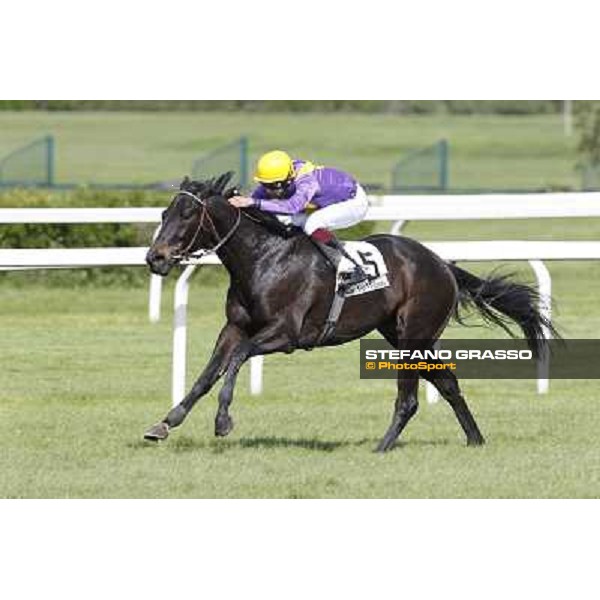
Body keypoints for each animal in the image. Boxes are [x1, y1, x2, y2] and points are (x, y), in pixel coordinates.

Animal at [143, 172, 556, 450]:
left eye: (186, 214)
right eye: (164, 213)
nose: (154, 258)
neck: (264, 258)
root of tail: (440, 263)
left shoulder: (286, 335)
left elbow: (236, 360)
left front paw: (223, 420)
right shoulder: (234, 327)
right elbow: (207, 373)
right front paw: (166, 422)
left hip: (413, 335)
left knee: (409, 398)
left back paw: (383, 447)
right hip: (405, 335)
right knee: (448, 383)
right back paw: (474, 439)